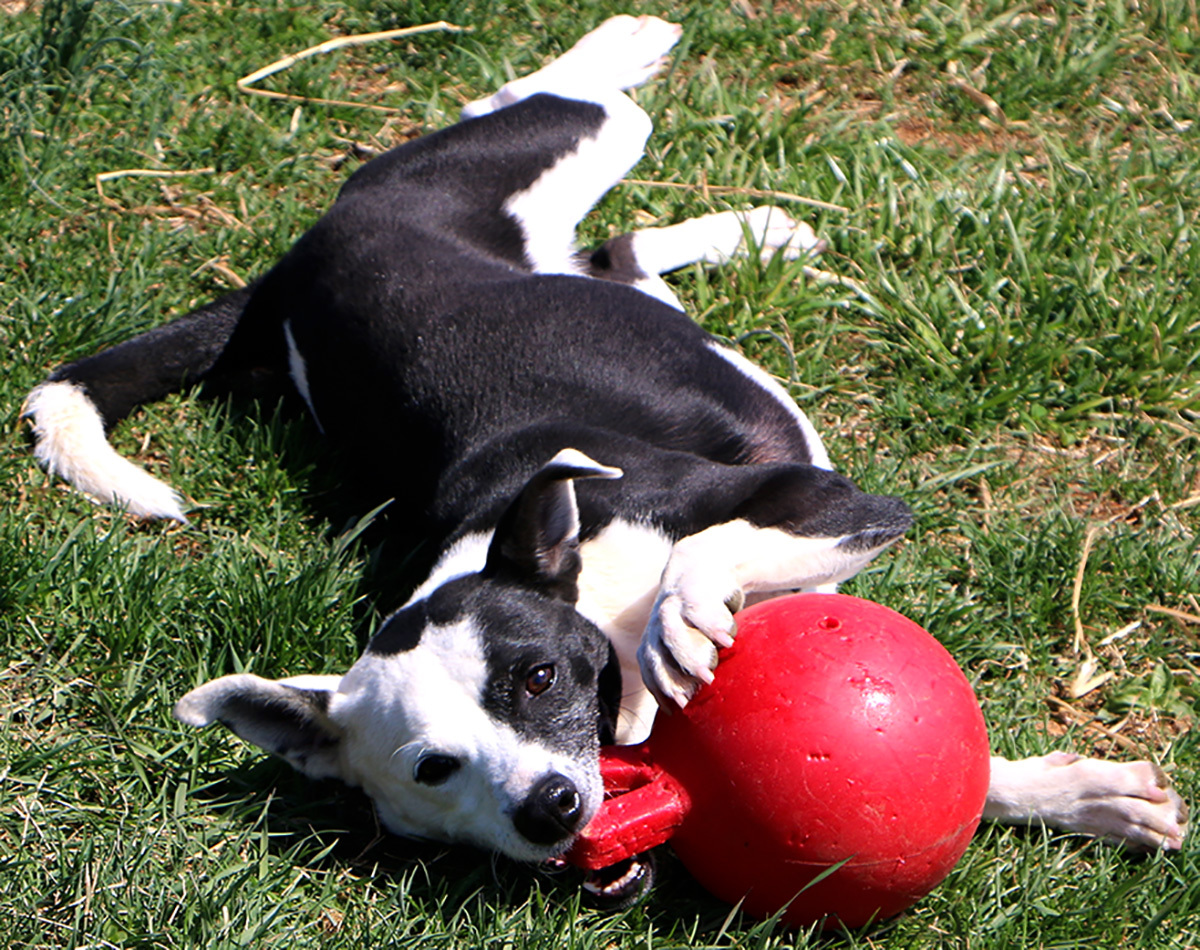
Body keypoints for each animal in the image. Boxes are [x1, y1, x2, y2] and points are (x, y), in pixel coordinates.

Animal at [23, 14, 1185, 902]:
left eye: (535, 676)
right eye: (434, 767)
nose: (551, 807)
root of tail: (290, 272)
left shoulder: (831, 499)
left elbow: (705, 558)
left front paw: (687, 614)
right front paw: (1080, 797)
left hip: (547, 151)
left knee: (559, 109)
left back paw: (622, 48)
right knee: (616, 248)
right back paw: (749, 229)